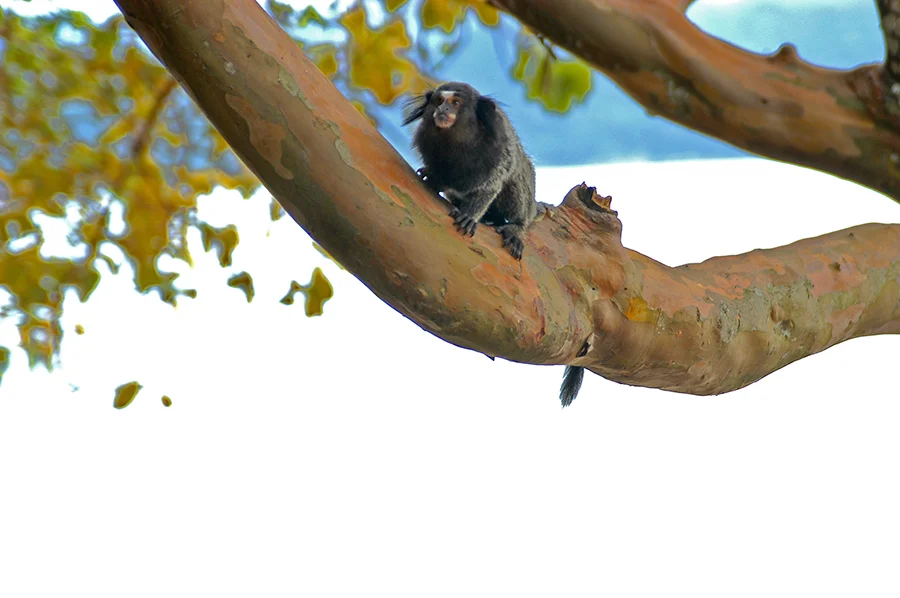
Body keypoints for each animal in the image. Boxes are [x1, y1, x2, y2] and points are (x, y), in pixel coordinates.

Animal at [404, 82, 536, 260]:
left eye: (455, 103)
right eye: (439, 101)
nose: (442, 109)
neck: (455, 143)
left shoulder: (498, 156)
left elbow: (488, 189)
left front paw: (468, 216)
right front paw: (431, 178)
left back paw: (516, 228)